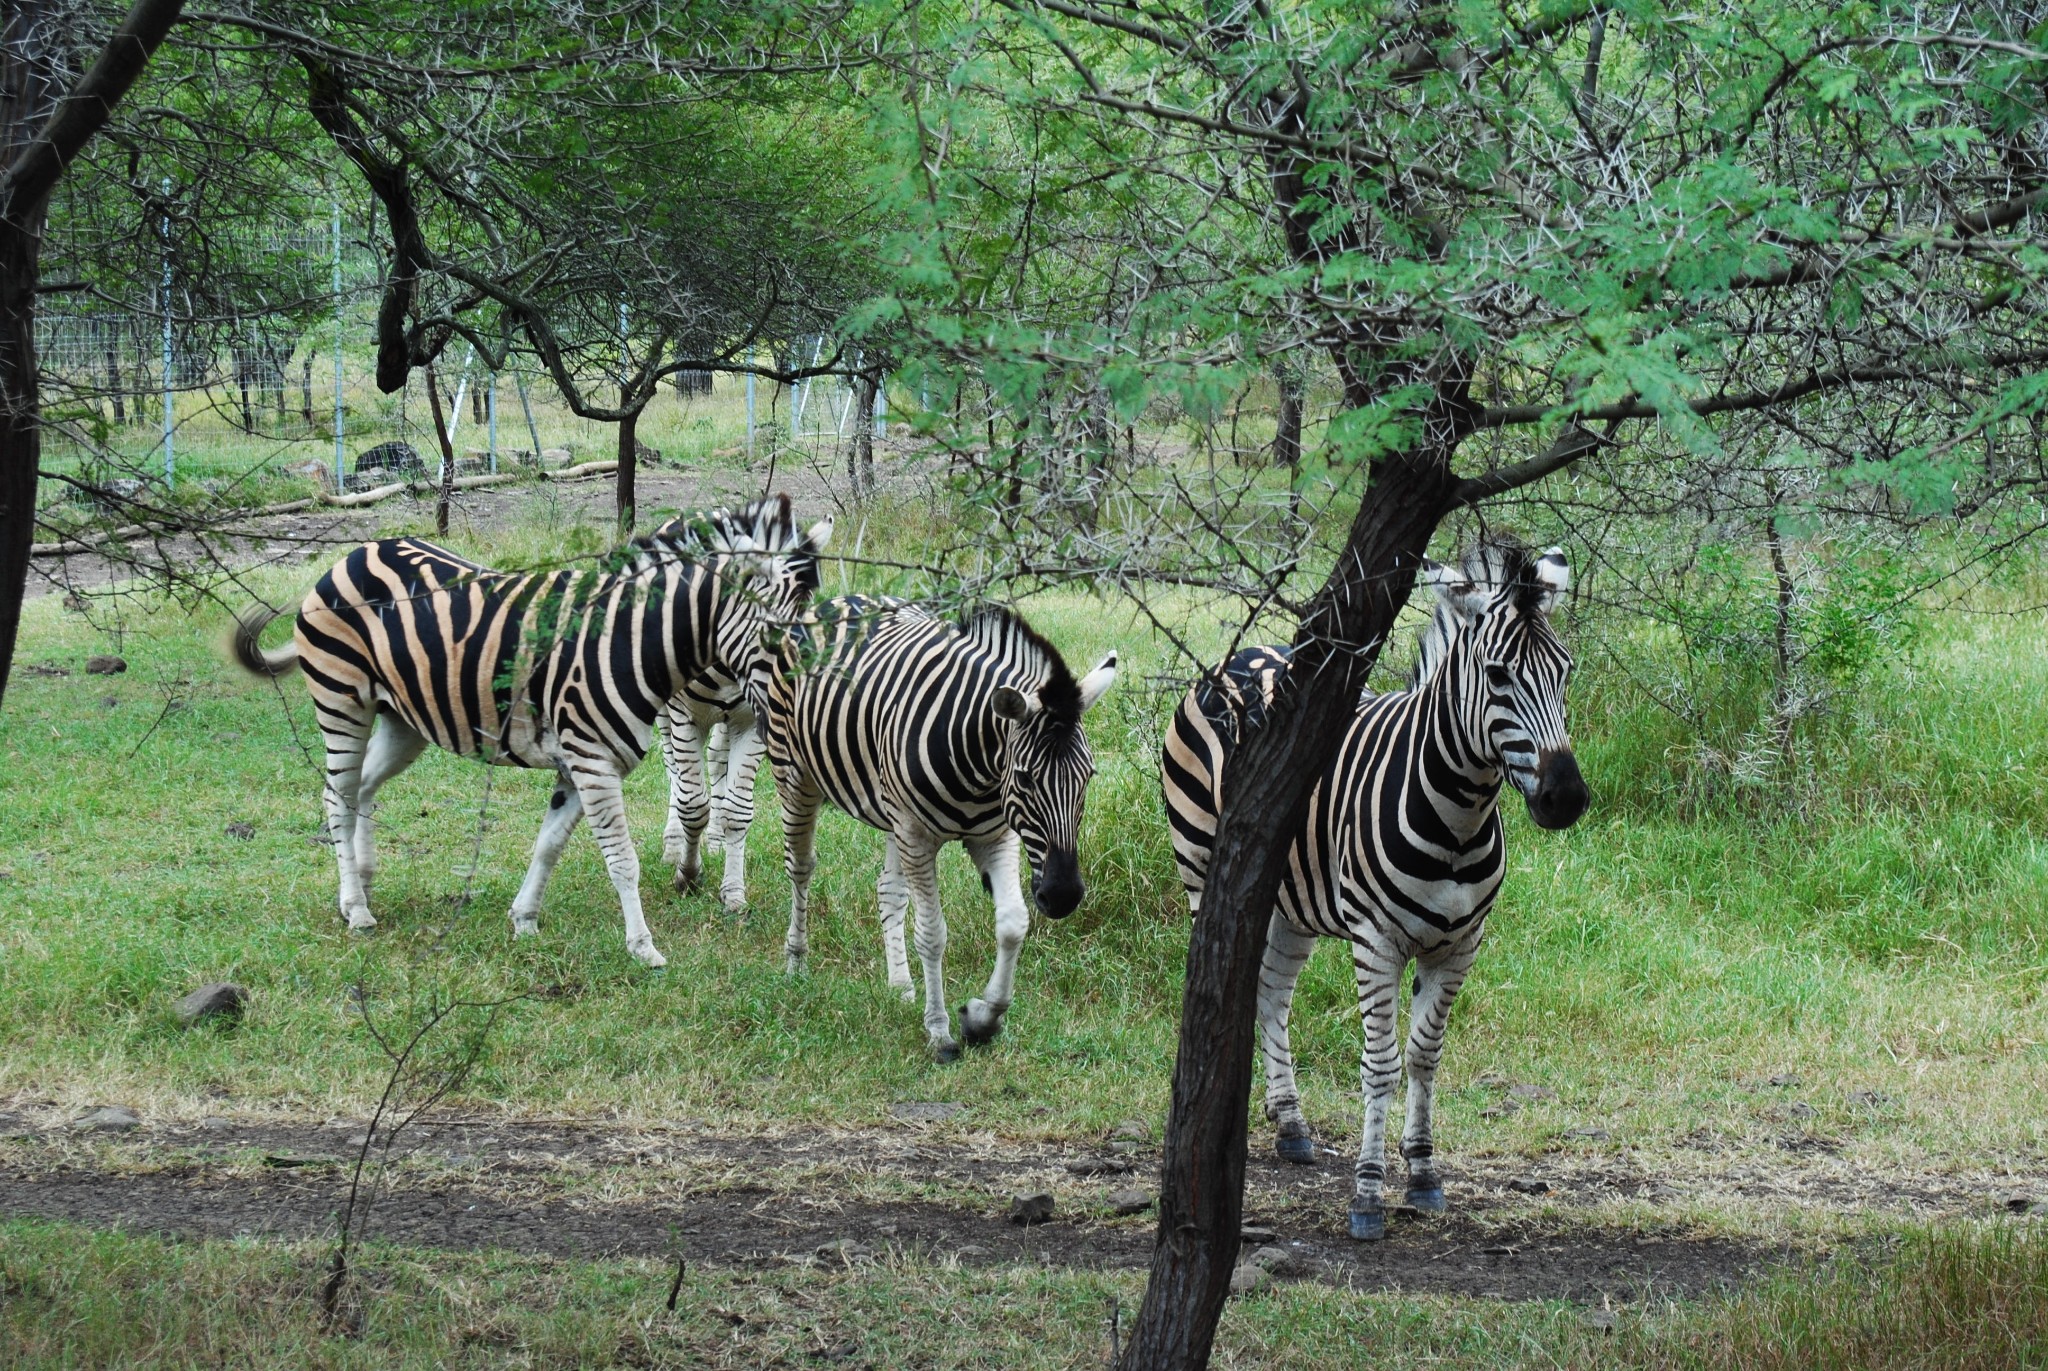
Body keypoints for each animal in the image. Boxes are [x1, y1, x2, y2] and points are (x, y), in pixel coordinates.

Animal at [230, 491, 823, 963]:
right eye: (780, 634)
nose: (796, 704)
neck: (630, 642)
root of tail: (356, 552)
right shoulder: (593, 762)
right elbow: (622, 860)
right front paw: (644, 948)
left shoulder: (579, 766)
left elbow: (549, 845)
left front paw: (525, 920)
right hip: (341, 700)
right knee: (336, 796)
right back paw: (355, 908)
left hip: (403, 720)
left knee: (362, 789)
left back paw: (365, 881)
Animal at [757, 594, 1114, 1057]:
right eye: (1025, 779)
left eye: (1088, 776)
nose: (1063, 896)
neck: (981, 768)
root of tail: (839, 599)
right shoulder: (917, 834)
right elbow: (932, 934)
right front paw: (940, 1032)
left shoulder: (994, 836)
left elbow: (1013, 923)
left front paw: (983, 1019)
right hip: (796, 776)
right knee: (801, 867)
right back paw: (797, 963)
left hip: (891, 813)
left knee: (888, 890)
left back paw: (901, 986)